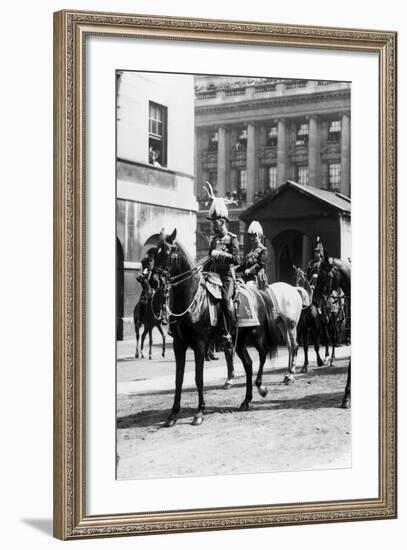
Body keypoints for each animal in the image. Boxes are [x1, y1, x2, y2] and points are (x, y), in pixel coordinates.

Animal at [153, 231, 280, 430]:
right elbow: (178, 379)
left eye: (167, 253)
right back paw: (246, 401)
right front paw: (173, 415)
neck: (192, 300)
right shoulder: (178, 345)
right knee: (248, 364)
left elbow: (198, 378)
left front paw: (199, 413)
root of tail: (258, 293)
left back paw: (261, 387)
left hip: (256, 335)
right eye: (155, 253)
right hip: (239, 340)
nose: (153, 280)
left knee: (263, 354)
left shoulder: (199, 345)